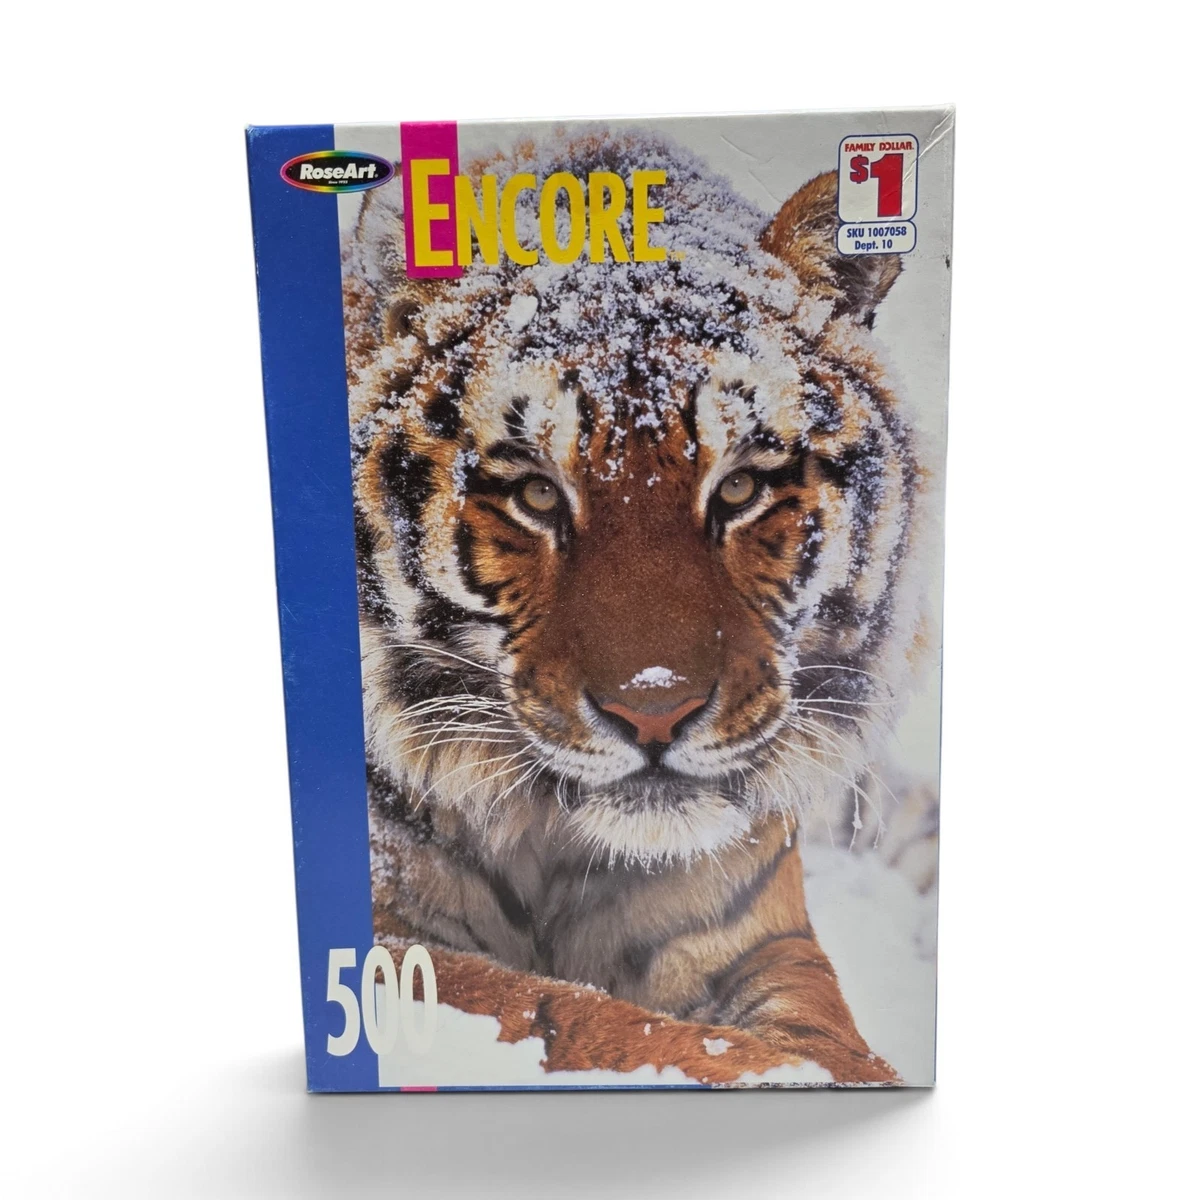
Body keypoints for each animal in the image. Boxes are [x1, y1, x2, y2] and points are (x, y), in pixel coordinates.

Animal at [341, 129, 932, 1085]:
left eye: (740, 488)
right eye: (538, 494)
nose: (655, 711)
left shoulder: (759, 941)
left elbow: (815, 1038)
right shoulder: (391, 939)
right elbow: (577, 1015)